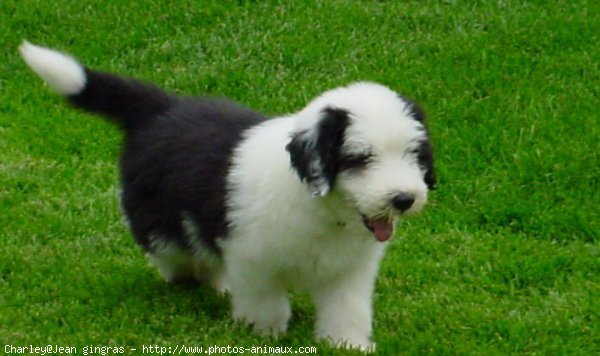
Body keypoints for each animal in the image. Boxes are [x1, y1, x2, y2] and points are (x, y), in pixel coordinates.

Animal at [19, 41, 436, 350]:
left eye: (414, 155)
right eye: (360, 158)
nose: (404, 199)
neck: (319, 208)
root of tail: (163, 108)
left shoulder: (350, 270)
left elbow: (347, 308)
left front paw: (346, 343)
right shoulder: (252, 256)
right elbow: (265, 302)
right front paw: (265, 334)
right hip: (160, 220)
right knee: (173, 252)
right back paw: (190, 280)